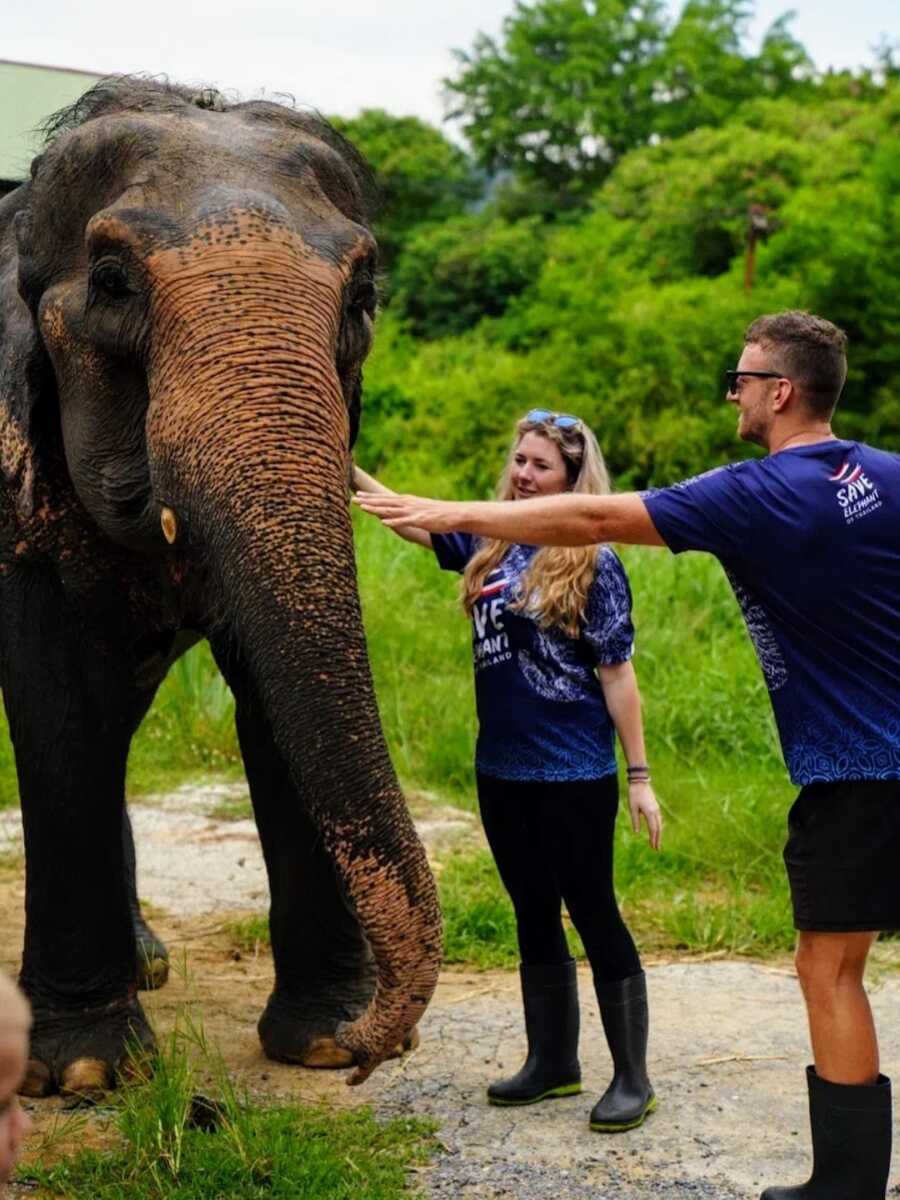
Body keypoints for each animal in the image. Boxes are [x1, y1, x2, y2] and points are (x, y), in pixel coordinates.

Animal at [0, 75, 444, 1099]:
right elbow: (56, 700)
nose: (378, 1049)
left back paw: (151, 962)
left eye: (364, 294)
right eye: (112, 282)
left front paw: (320, 1043)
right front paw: (86, 1074)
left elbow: (271, 697)